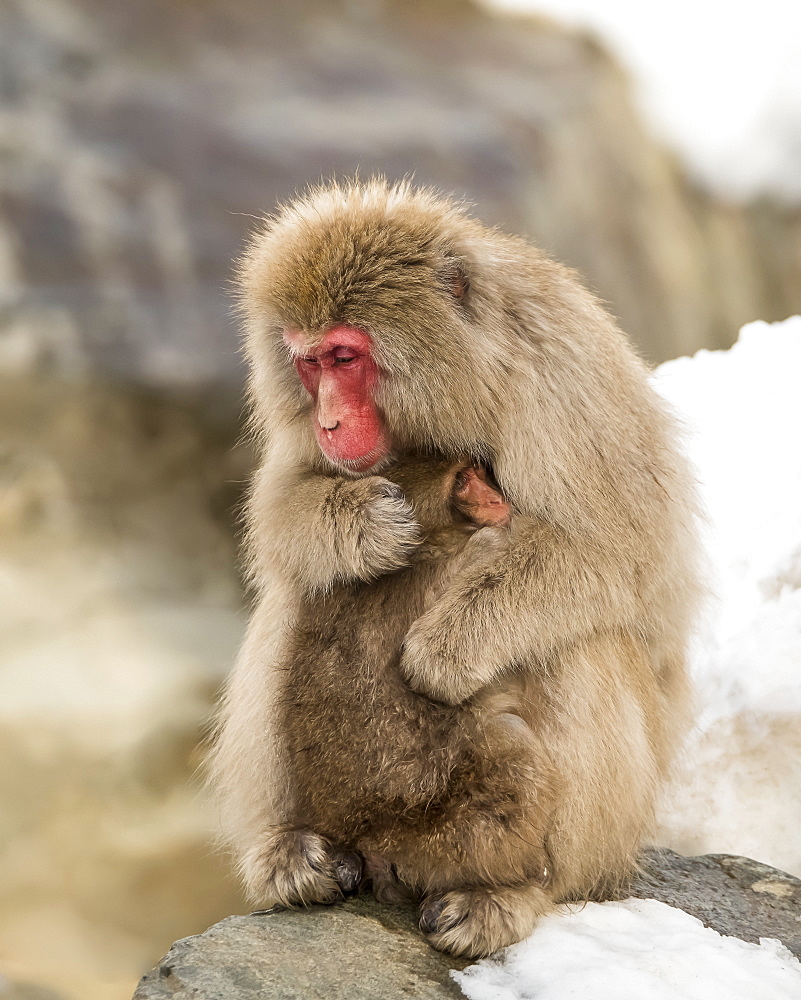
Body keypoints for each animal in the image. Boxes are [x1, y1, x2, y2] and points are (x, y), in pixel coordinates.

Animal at [208, 180, 700, 960]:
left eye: (346, 356)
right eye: (309, 363)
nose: (329, 422)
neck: (468, 374)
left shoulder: (561, 373)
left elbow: (620, 554)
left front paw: (444, 651)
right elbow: (280, 506)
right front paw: (365, 526)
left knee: (581, 642)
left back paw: (513, 892)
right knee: (297, 592)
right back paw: (293, 851)